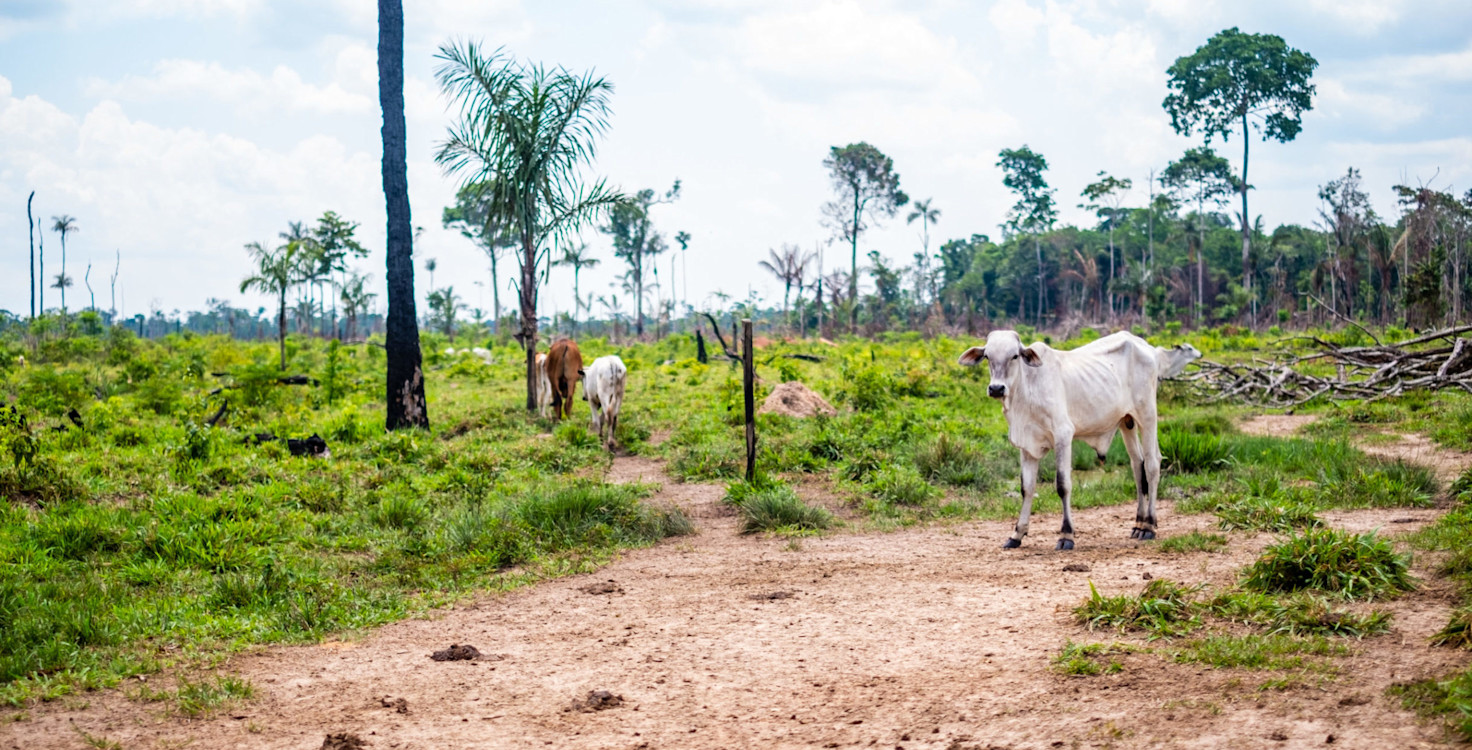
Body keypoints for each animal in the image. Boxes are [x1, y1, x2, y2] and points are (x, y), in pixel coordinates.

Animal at [958, 330, 1162, 550]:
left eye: (1014, 356)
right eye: (987, 356)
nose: (996, 388)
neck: (1027, 389)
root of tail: (1141, 343)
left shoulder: (1063, 436)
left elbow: (1063, 485)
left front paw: (1066, 535)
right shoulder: (1027, 446)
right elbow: (1026, 488)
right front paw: (1017, 535)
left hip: (1147, 416)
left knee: (1151, 465)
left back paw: (1149, 526)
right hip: (1127, 422)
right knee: (1137, 465)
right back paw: (1139, 524)